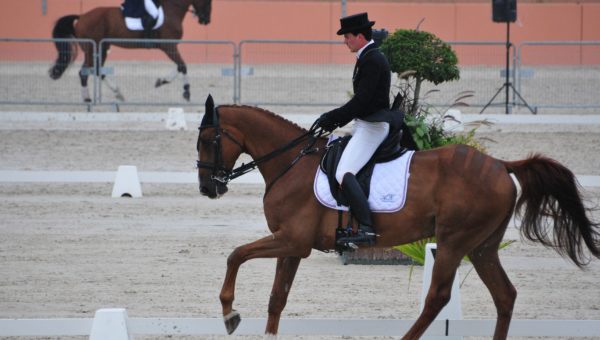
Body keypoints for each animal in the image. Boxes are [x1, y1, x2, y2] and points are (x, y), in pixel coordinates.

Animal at [49, 0, 213, 102]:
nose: (205, 20)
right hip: (92, 48)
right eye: (207, 1)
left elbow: (180, 66)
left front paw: (161, 81)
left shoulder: (170, 47)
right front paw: (186, 91)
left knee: (95, 70)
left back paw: (114, 94)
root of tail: (82, 16)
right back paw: (91, 98)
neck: (172, 10)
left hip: (102, 47)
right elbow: (182, 66)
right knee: (85, 72)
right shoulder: (169, 47)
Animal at [197, 94, 600, 338]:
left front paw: (229, 314)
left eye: (208, 141)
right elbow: (276, 297)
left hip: (453, 243)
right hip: (482, 246)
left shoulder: (291, 240)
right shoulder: (293, 245)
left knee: (438, 297)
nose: (207, 188)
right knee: (505, 296)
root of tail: (501, 165)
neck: (291, 164)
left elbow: (236, 255)